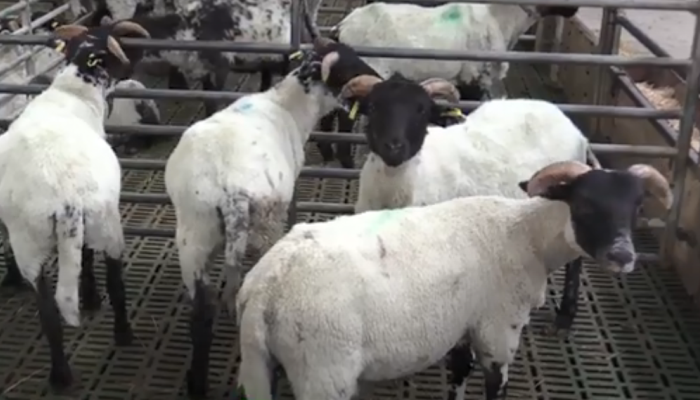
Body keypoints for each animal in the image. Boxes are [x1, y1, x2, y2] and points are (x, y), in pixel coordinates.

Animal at [0, 21, 150, 390]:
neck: (72, 92)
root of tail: (63, 198)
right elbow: (88, 258)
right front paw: (92, 297)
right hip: (107, 223)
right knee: (114, 282)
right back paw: (121, 335)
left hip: (31, 242)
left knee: (48, 312)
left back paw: (59, 375)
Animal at [163, 44, 339, 398]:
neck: (285, 106)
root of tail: (231, 190)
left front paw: (230, 298)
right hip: (264, 224)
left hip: (192, 232)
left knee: (201, 313)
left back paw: (197, 383)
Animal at [234, 160, 672, 400]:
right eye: (583, 204)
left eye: (637, 206)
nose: (623, 257)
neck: (525, 236)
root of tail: (265, 289)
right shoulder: (498, 332)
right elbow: (495, 386)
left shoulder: (464, 325)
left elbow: (459, 374)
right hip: (324, 370)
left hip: (263, 362)